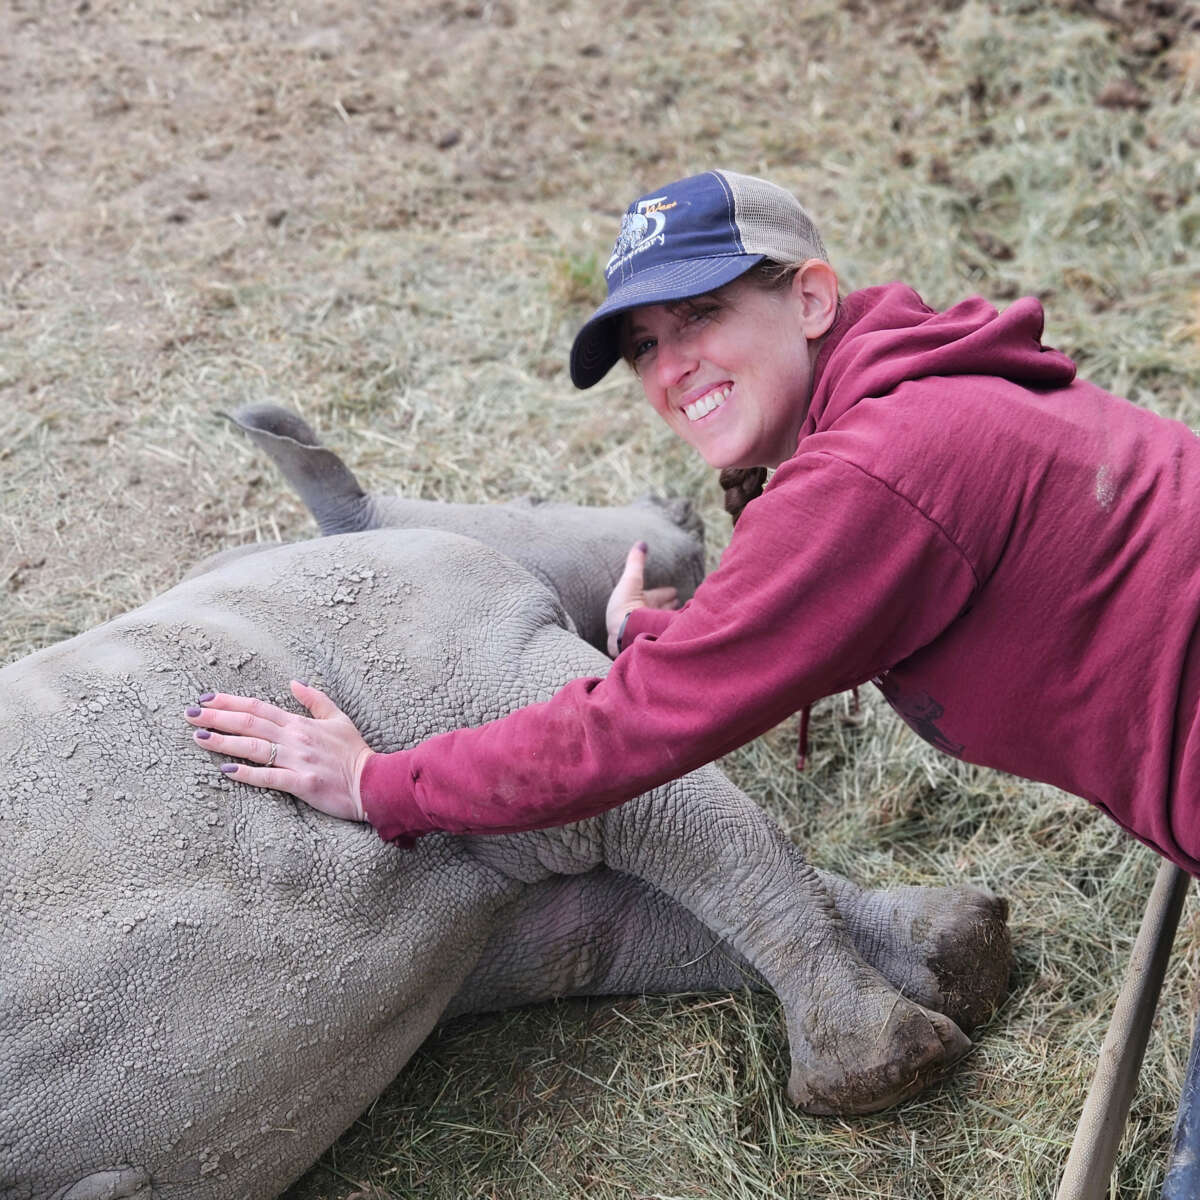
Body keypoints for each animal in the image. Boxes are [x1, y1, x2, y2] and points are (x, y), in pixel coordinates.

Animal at [0, 446, 1011, 1199]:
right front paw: (883, 1064)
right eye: (532, 495)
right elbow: (718, 834)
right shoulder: (495, 657)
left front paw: (964, 954)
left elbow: (663, 924)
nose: (678, 509)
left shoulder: (488, 930)